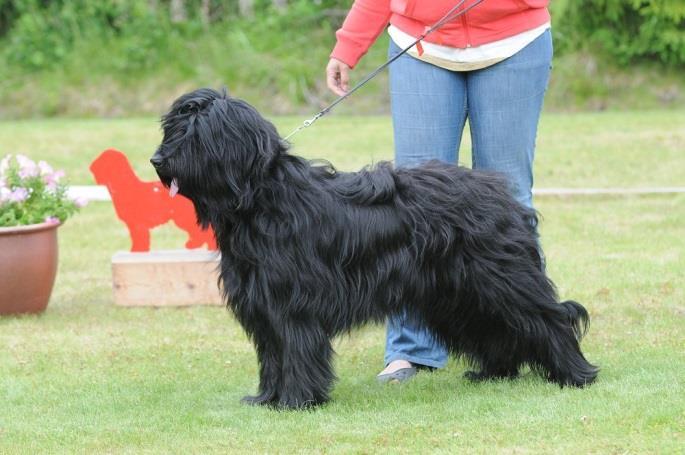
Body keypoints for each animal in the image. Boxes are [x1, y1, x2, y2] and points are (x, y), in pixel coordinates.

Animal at [151, 88, 600, 410]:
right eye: (171, 129)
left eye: (194, 135)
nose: (157, 160)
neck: (261, 198)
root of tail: (499, 191)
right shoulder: (261, 304)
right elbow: (273, 355)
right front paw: (266, 398)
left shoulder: (290, 304)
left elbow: (293, 350)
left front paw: (295, 400)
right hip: (458, 293)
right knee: (495, 327)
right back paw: (495, 373)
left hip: (500, 279)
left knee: (551, 318)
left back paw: (576, 374)